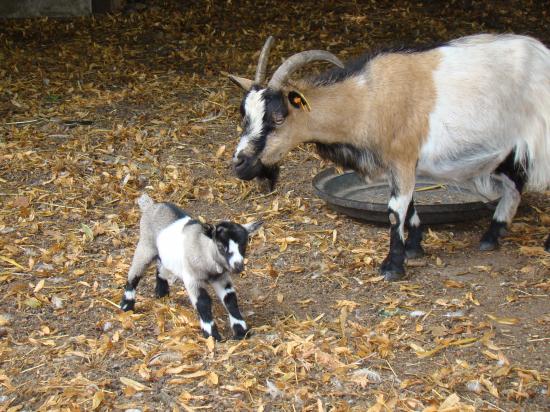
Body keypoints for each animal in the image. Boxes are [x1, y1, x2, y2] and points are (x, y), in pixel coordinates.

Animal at [121, 195, 264, 340]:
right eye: (220, 246)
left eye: (244, 245)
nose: (238, 266)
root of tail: (150, 205)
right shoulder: (192, 279)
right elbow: (203, 302)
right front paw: (212, 335)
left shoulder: (221, 277)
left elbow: (230, 299)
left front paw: (241, 332)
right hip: (146, 246)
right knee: (134, 274)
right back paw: (126, 306)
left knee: (161, 266)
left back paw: (162, 293)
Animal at [230, 35, 550, 282]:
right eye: (245, 114)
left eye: (278, 117)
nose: (239, 163)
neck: (367, 100)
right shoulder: (397, 165)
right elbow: (410, 206)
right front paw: (414, 248)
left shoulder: (404, 157)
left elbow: (395, 211)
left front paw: (393, 267)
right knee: (514, 186)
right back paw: (491, 236)